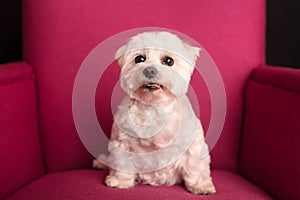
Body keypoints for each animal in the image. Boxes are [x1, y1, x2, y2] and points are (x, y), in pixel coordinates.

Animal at [94, 32, 216, 195]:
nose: (149, 70)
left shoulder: (193, 145)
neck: (154, 107)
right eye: (139, 59)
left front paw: (200, 186)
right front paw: (120, 181)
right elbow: (123, 163)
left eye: (169, 61)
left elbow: (195, 166)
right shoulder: (123, 142)